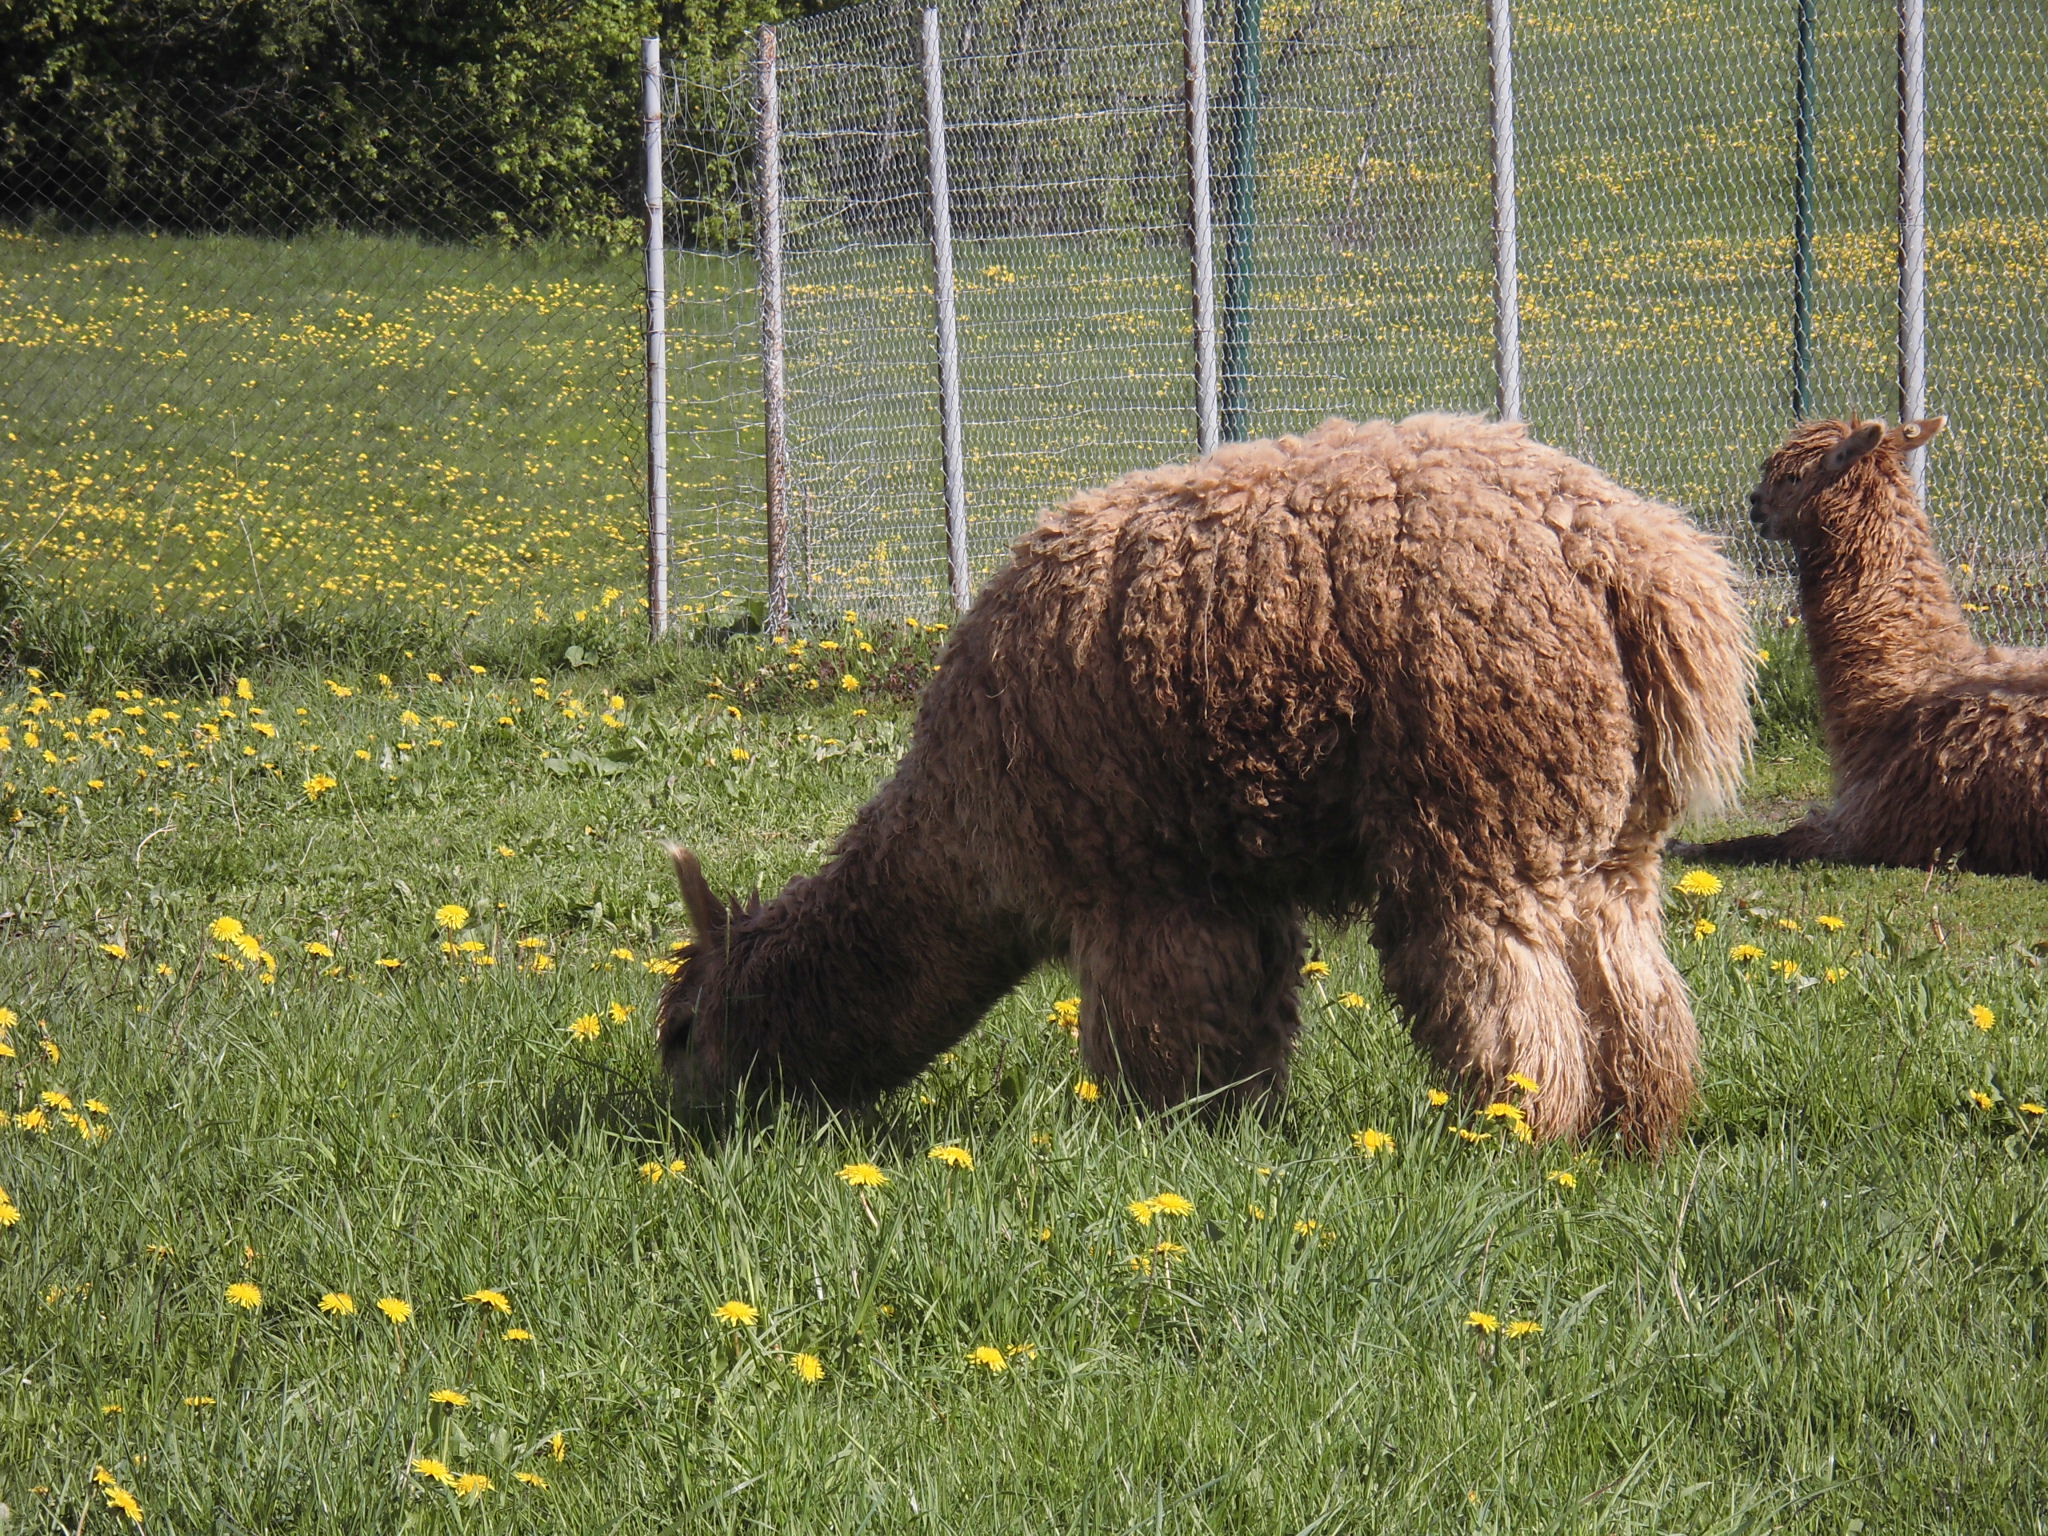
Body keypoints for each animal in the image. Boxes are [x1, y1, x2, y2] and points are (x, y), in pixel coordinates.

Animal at [660, 414, 1753, 1148]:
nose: (683, 1117)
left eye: (678, 1027)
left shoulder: (1142, 878)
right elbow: (1252, 1021)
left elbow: (1167, 1031)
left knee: (1500, 973)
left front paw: (1163, 1135)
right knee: (1631, 981)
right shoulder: (1229, 875)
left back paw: (1518, 1137)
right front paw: (1236, 1128)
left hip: (1481, 794)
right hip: (1602, 820)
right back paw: (1634, 1131)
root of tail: (1635, 562)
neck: (968, 824)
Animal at [1678, 415, 2048, 877]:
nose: (1755, 504)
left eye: (1792, 476)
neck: (1903, 687)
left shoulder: (1872, 827)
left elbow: (1764, 842)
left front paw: (1683, 846)